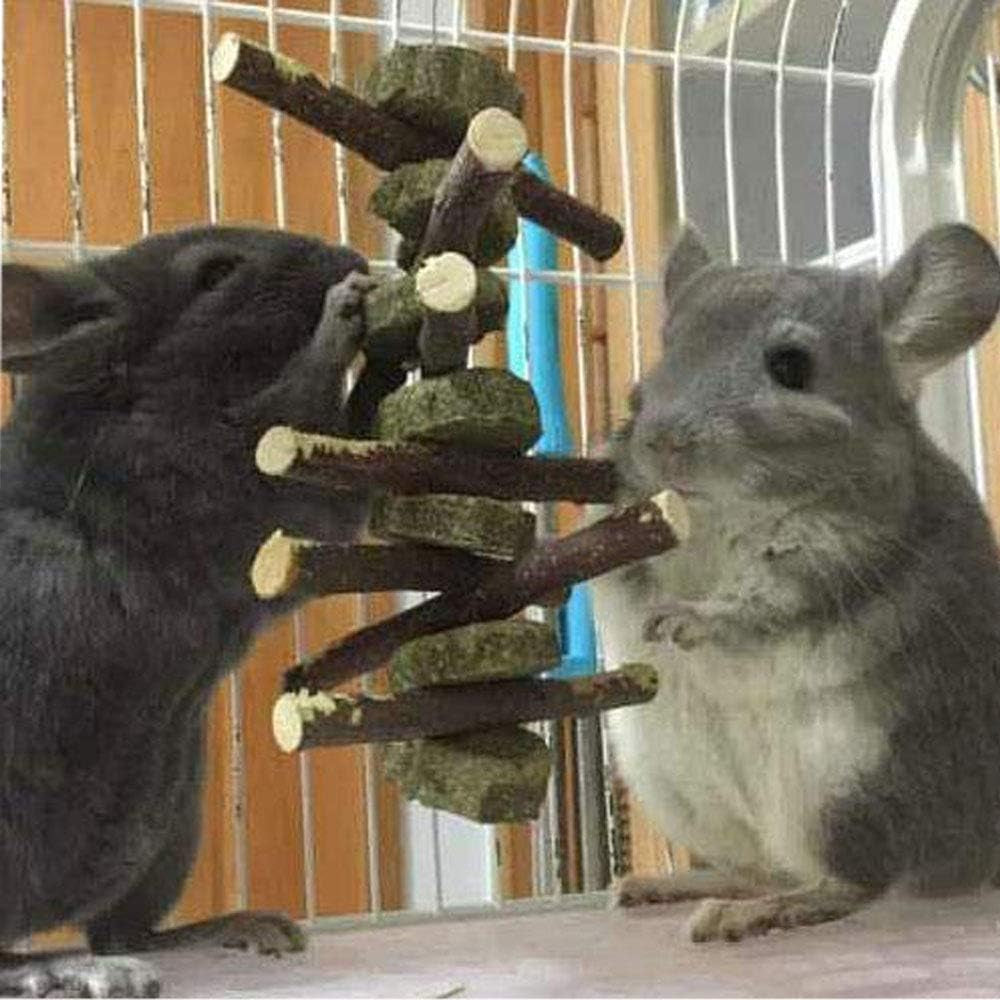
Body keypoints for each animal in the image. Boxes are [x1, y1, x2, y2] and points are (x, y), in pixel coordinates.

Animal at [0, 225, 400, 996]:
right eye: (216, 273)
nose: (351, 258)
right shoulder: (248, 485)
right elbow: (319, 418)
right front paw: (347, 312)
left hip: (169, 829)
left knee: (126, 929)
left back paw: (247, 928)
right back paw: (72, 972)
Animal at [590, 223, 1000, 943]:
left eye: (790, 366)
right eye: (665, 350)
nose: (661, 442)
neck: (718, 514)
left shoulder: (833, 557)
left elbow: (756, 602)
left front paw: (681, 620)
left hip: (846, 786)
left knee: (851, 883)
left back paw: (747, 916)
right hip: (678, 787)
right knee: (760, 866)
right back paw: (665, 886)